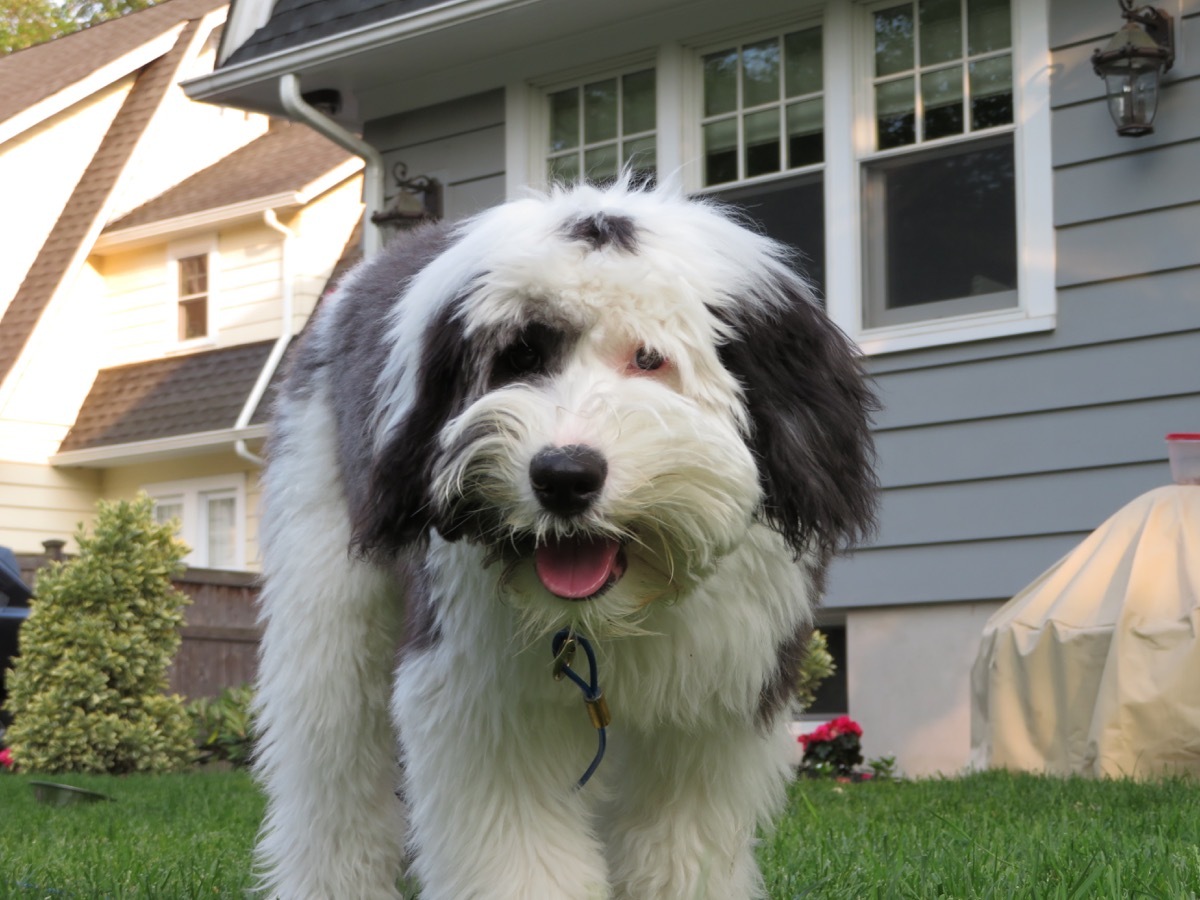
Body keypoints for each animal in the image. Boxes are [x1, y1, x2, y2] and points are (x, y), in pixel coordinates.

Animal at [255, 180, 873, 897]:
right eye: (520, 356)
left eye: (650, 358)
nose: (564, 477)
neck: (619, 612)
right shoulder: (482, 699)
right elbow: (517, 852)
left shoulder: (714, 709)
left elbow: (679, 845)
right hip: (326, 589)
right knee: (331, 759)